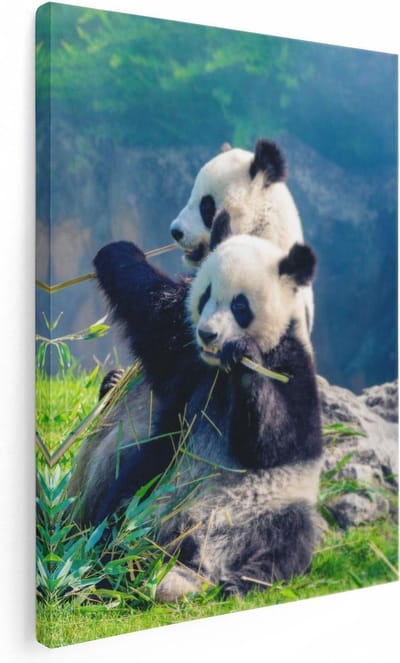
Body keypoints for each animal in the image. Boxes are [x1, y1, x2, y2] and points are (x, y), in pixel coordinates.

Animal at [69, 211, 322, 600]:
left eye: (240, 305)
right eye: (205, 297)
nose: (208, 334)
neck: (220, 370)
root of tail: (198, 553)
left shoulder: (292, 366)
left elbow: (278, 442)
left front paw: (246, 359)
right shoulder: (189, 364)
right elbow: (158, 314)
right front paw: (119, 251)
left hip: (273, 505)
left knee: (289, 540)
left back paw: (242, 582)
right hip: (155, 488)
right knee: (124, 506)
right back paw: (110, 563)